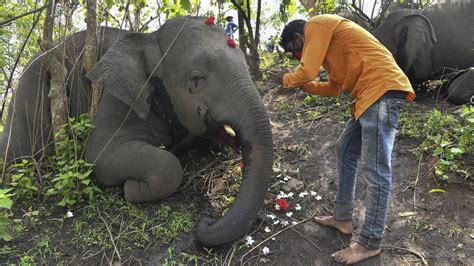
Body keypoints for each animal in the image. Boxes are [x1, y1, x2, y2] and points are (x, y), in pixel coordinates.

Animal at [0, 16, 274, 247]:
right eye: (196, 79)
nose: (207, 220)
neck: (149, 38)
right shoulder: (118, 96)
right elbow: (101, 155)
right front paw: (131, 189)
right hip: (29, 96)